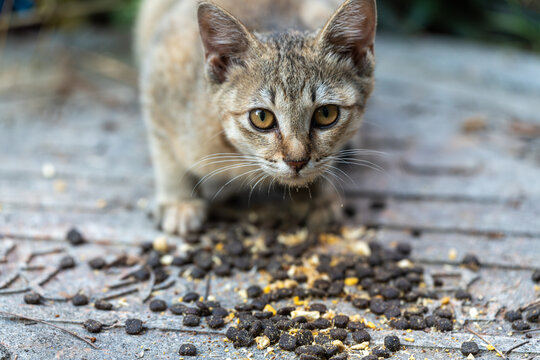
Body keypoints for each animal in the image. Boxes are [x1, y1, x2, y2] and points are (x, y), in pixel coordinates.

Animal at [135, 0, 376, 235]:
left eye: (326, 114)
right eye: (261, 117)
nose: (296, 161)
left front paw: (318, 196)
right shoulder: (161, 76)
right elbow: (167, 157)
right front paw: (179, 202)